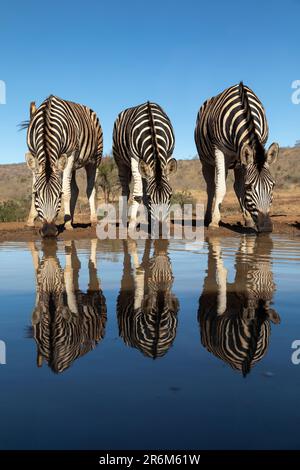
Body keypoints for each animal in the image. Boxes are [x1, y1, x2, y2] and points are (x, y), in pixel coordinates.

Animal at [22, 96, 103, 237]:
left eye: (59, 195)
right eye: (37, 195)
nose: (49, 232)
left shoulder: (70, 154)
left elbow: (66, 190)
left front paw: (68, 225)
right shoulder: (34, 154)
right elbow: (33, 187)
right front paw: (30, 221)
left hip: (94, 159)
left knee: (90, 188)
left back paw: (92, 220)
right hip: (74, 165)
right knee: (75, 189)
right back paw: (71, 218)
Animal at [28, 241, 107, 372]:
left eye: (60, 280)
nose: (50, 256)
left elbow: (68, 271)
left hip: (98, 300)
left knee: (92, 272)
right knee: (77, 265)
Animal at [195, 84, 278, 233]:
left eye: (273, 185)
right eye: (249, 187)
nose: (267, 228)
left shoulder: (259, 146)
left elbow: (239, 188)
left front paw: (248, 219)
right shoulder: (219, 149)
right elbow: (220, 187)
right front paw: (214, 222)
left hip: (238, 160)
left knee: (236, 186)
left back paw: (248, 219)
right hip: (206, 161)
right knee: (211, 187)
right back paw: (208, 217)